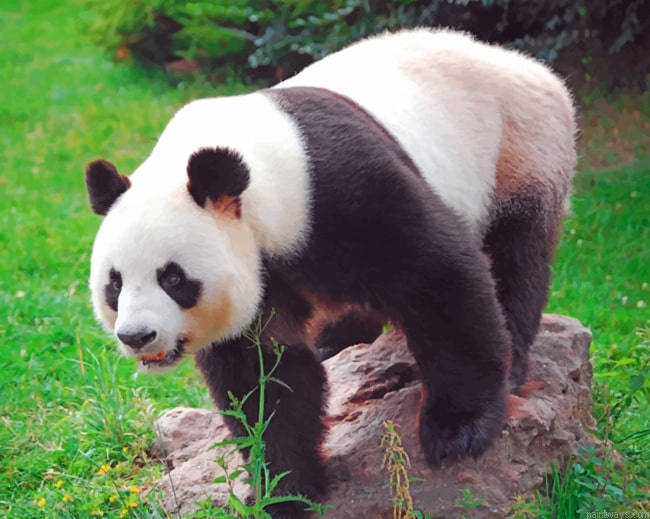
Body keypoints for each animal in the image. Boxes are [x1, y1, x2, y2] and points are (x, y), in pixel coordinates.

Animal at [84, 28, 576, 518]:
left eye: (172, 278)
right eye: (115, 283)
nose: (136, 335)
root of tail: (518, 61)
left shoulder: (339, 191)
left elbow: (439, 278)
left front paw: (457, 432)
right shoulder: (262, 278)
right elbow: (266, 376)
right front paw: (285, 489)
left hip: (520, 149)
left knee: (513, 257)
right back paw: (336, 342)